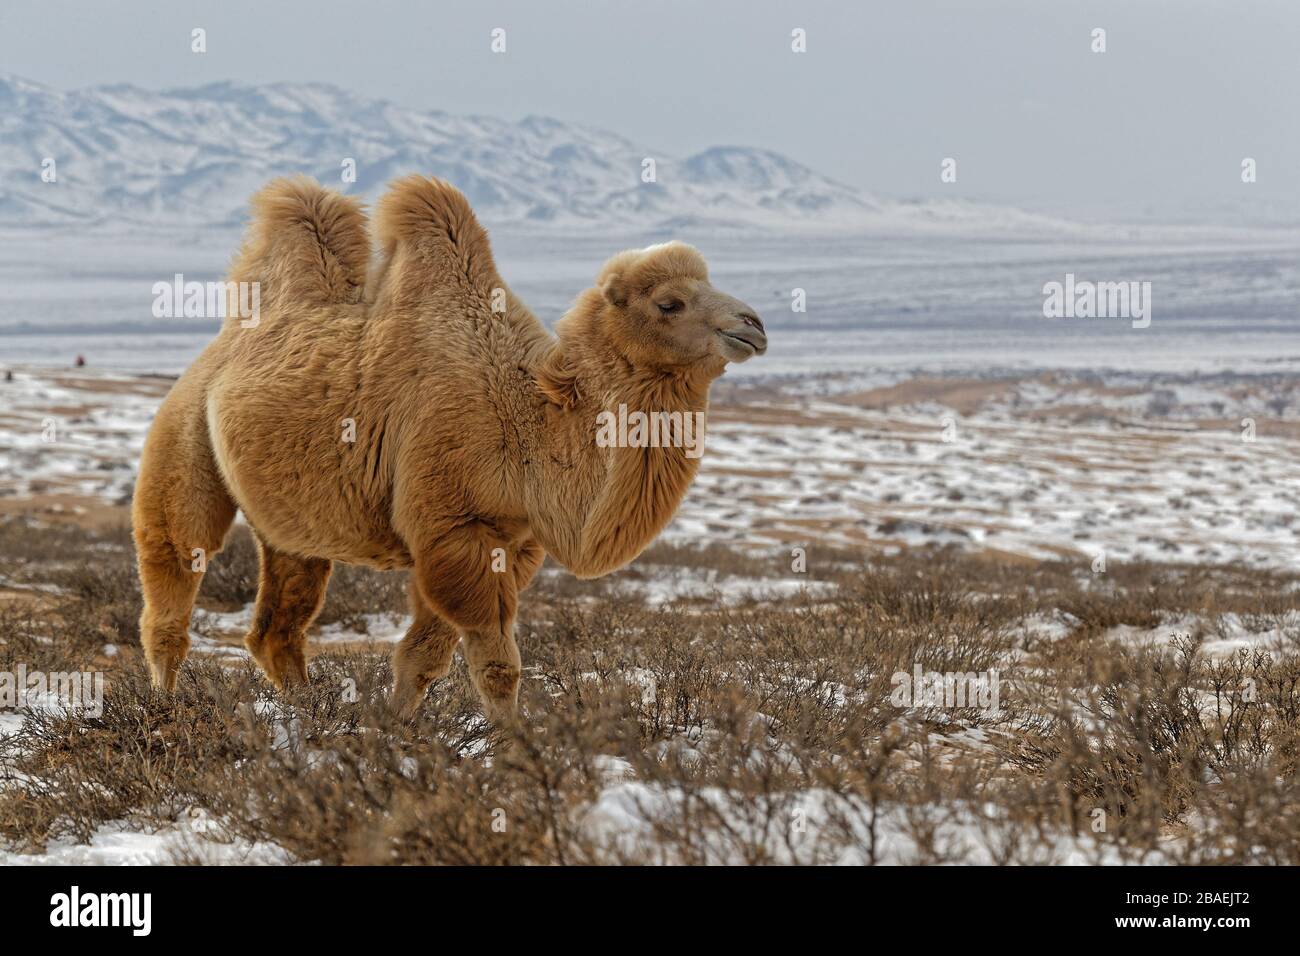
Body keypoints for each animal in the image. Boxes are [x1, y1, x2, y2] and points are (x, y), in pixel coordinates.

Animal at [131, 175, 759, 723]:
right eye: (669, 303)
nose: (753, 325)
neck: (526, 418)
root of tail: (216, 353)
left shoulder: (509, 540)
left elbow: (422, 657)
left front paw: (391, 730)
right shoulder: (455, 527)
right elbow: (497, 664)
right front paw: (513, 748)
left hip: (291, 521)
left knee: (277, 623)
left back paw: (309, 713)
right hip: (183, 432)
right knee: (175, 565)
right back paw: (164, 707)